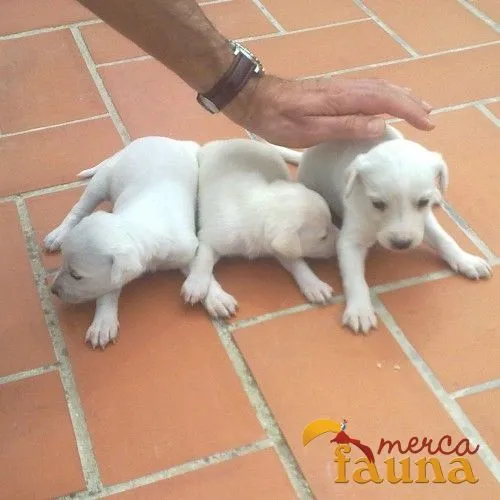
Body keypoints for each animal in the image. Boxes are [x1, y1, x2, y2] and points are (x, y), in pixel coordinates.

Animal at [45, 136, 227, 348]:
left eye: (76, 276)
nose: (53, 290)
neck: (139, 224)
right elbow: (108, 291)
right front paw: (103, 323)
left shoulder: (185, 251)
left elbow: (199, 266)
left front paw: (215, 297)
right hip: (101, 181)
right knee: (79, 209)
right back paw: (58, 234)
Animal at [182, 138, 338, 316]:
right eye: (323, 237)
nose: (341, 237)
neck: (258, 209)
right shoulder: (210, 238)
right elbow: (203, 260)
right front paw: (198, 285)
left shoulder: (276, 246)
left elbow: (299, 264)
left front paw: (314, 284)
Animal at [272, 127, 490, 334]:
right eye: (377, 204)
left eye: (422, 202)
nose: (402, 243)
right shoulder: (350, 240)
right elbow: (354, 277)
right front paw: (359, 310)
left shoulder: (424, 221)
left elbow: (444, 238)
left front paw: (465, 260)